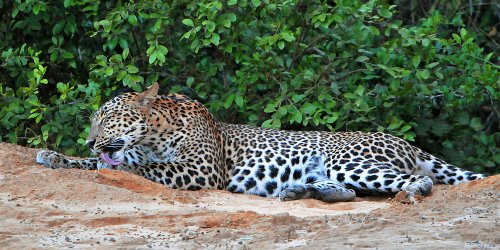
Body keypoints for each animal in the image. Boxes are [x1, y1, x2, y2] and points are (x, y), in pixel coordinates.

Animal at [36, 83, 484, 202]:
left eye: (106, 119)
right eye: (92, 121)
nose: (90, 141)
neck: (155, 132)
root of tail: (406, 142)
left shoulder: (203, 170)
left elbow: (147, 167)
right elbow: (94, 164)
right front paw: (55, 155)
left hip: (349, 160)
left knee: (413, 181)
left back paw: (415, 190)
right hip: (337, 171)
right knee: (349, 192)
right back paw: (301, 191)